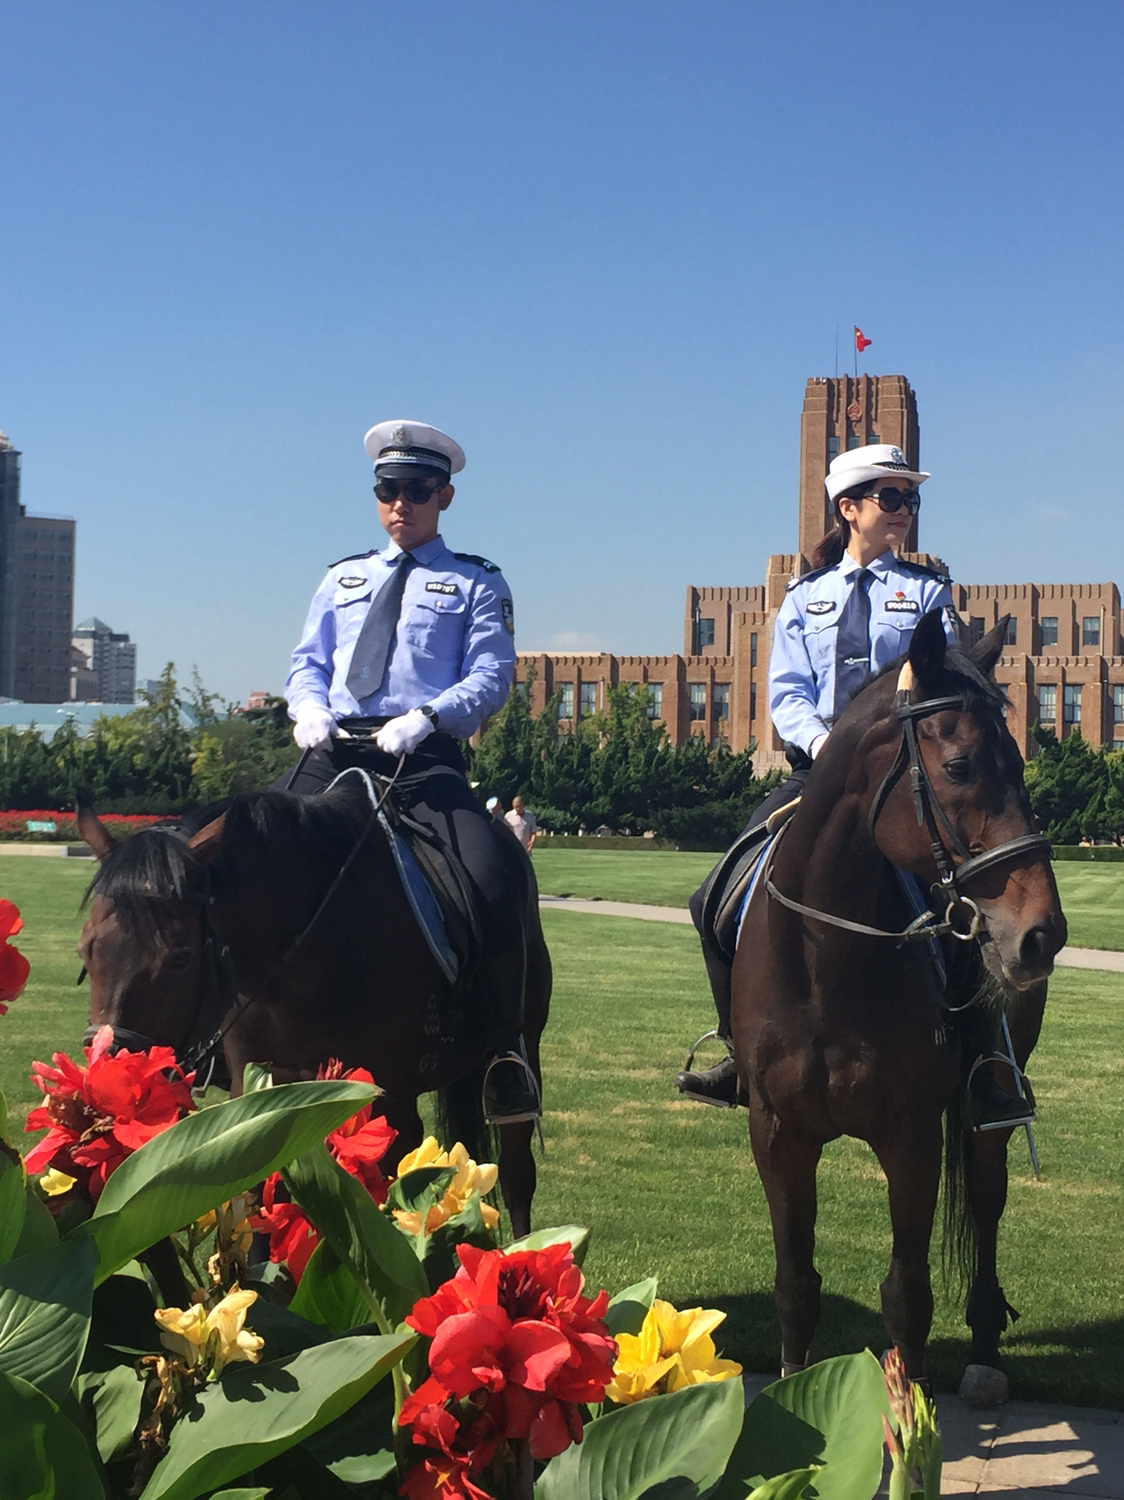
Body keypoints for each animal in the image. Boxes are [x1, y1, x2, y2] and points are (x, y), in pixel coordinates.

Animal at [76, 768, 549, 1236]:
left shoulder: (390, 1102)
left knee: (516, 1175)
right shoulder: (262, 1097)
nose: (110, 1081)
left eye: (179, 957)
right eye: (86, 949)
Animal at [732, 612, 1068, 1392]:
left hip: (991, 1097)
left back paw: (984, 1354)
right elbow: (795, 1285)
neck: (824, 958)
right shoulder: (778, 1133)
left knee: (987, 1197)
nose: (1043, 932)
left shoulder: (910, 1137)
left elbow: (907, 1297)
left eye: (1022, 760)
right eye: (961, 766)